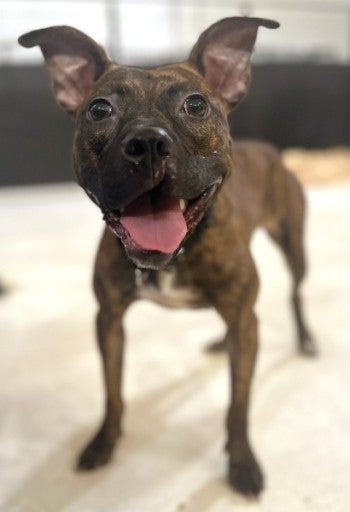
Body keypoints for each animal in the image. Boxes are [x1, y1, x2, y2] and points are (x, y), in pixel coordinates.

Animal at [19, 18, 316, 494]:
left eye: (195, 105)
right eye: (98, 109)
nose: (147, 143)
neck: (176, 254)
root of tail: (271, 150)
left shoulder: (244, 319)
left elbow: (238, 405)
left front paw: (242, 462)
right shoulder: (109, 320)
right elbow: (113, 392)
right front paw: (104, 442)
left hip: (293, 247)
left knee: (294, 293)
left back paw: (304, 339)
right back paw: (221, 341)